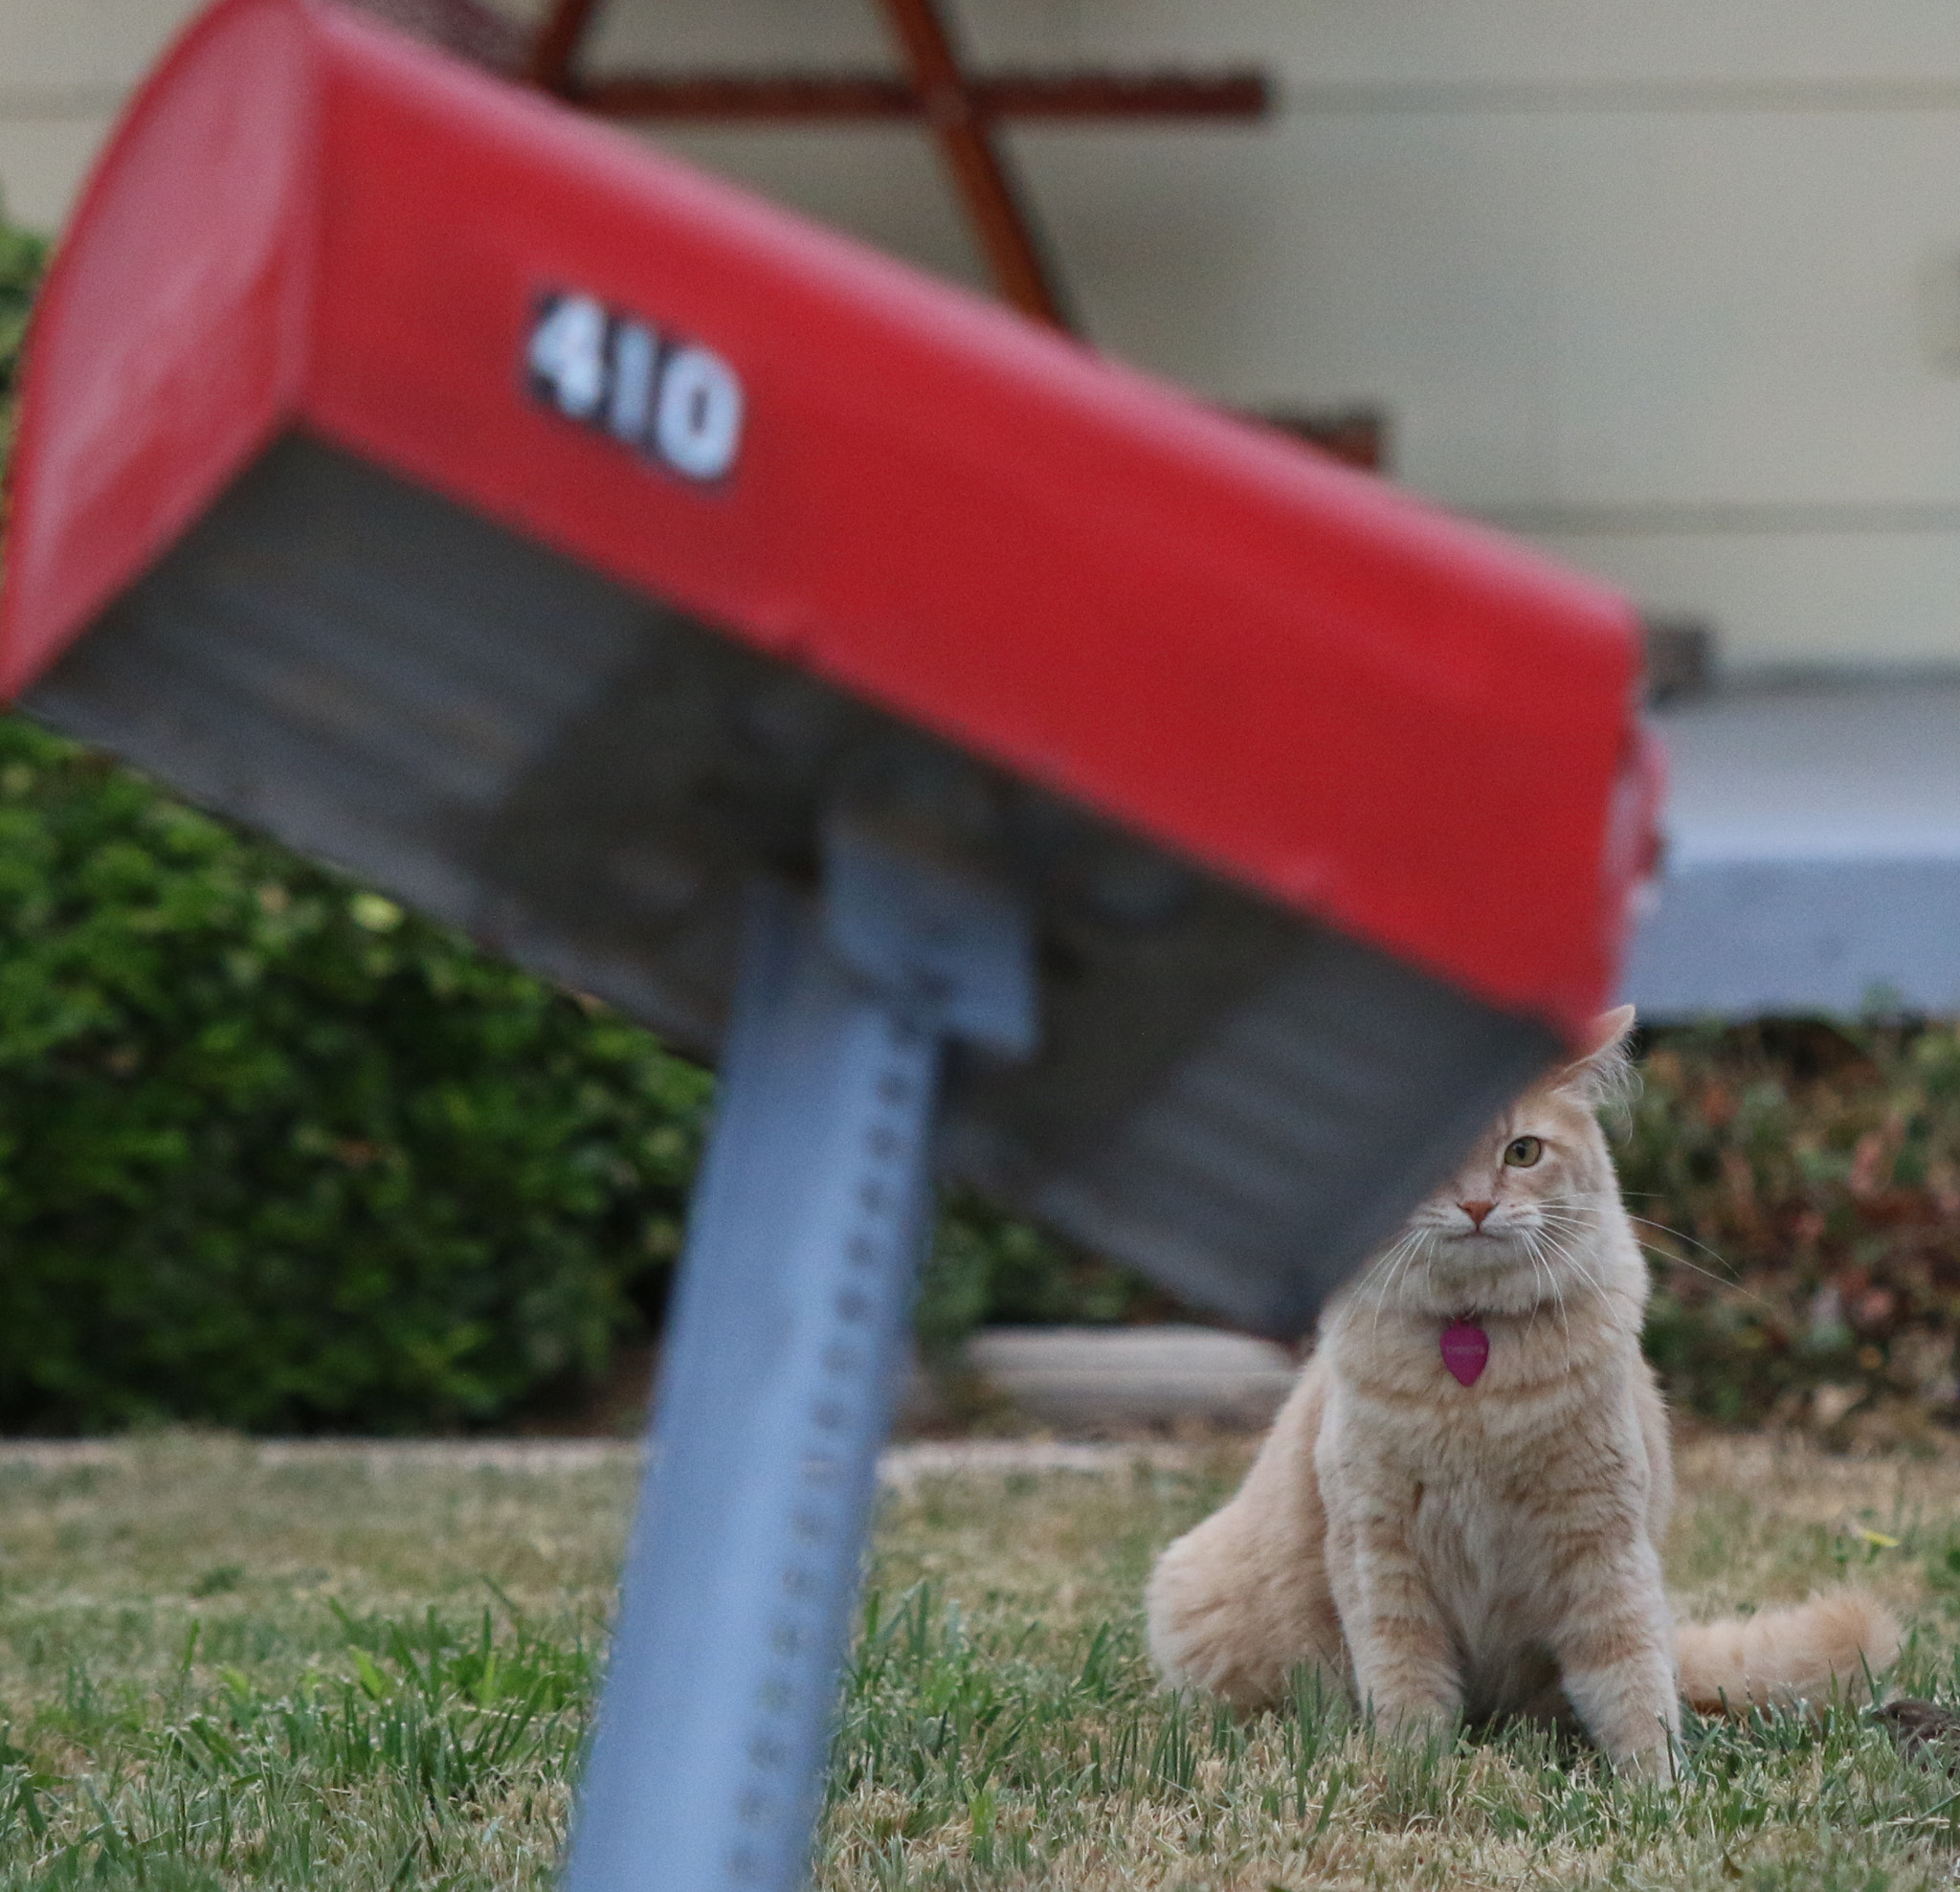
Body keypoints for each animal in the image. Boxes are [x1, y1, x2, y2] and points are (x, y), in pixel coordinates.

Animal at [1145, 1012, 1897, 1780]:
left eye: (1523, 1152)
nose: (1478, 1204)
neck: (1473, 1361)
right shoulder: (1378, 1550)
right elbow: (1406, 1685)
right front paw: (1414, 1776)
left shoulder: (1603, 1541)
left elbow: (1630, 1682)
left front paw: (1656, 1786)